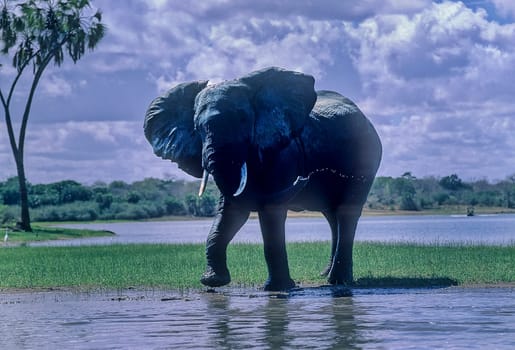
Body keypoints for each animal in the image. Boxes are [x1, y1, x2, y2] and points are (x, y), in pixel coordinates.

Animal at [143, 67, 380, 292]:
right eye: (197, 128)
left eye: (242, 121)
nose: (303, 176)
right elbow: (232, 211)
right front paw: (213, 282)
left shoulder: (284, 153)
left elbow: (270, 211)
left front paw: (278, 288)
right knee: (332, 216)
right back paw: (325, 275)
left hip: (365, 156)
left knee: (346, 212)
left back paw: (338, 281)